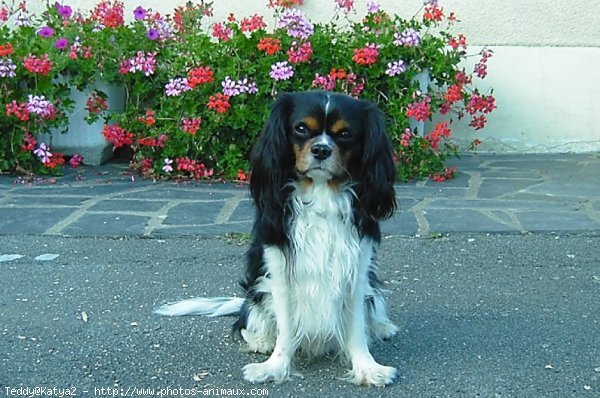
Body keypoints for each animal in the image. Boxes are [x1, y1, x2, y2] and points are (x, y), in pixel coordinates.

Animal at [155, 92, 398, 386]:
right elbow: (286, 327)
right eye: (301, 128)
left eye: (345, 134)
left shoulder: (356, 268)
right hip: (258, 288)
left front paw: (367, 368)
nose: (321, 150)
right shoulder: (279, 269)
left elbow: (356, 327)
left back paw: (382, 327)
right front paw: (274, 367)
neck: (321, 193)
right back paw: (261, 339)